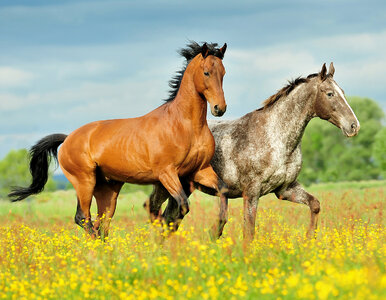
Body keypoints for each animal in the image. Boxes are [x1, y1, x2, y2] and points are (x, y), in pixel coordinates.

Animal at [9, 41, 229, 239]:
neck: (185, 125)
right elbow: (180, 207)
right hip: (84, 182)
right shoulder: (167, 173)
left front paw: (215, 232)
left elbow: (223, 192)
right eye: (206, 72)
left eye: (224, 73)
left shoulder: (200, 171)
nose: (219, 108)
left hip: (108, 190)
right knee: (83, 218)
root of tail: (68, 138)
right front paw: (162, 235)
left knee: (101, 222)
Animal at [145, 62, 358, 239]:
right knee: (154, 209)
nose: (354, 126)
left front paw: (309, 239)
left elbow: (315, 205)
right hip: (165, 186)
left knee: (170, 219)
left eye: (342, 91)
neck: (275, 138)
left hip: (184, 189)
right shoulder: (251, 192)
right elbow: (249, 231)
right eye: (330, 94)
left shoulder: (285, 189)